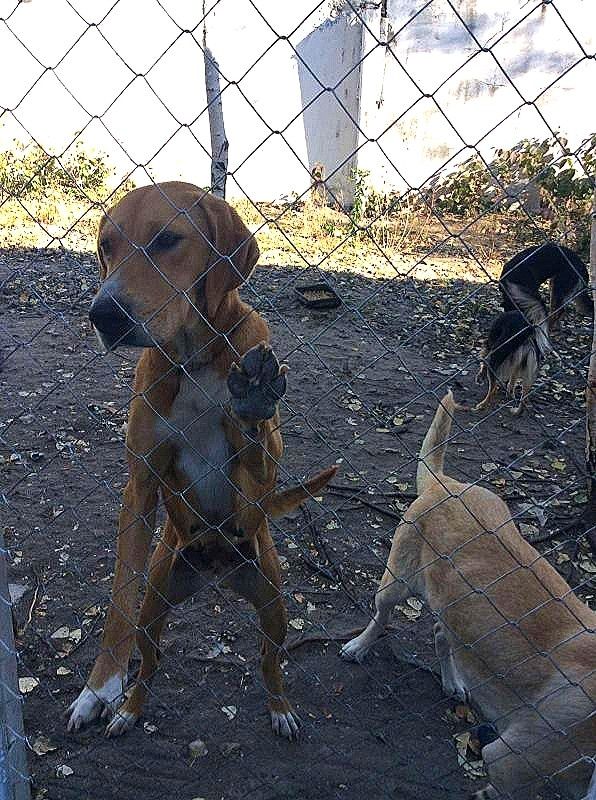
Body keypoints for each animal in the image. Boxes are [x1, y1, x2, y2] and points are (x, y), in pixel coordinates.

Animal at [66, 181, 338, 736]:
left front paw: (250, 404)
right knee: (150, 663)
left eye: (167, 240)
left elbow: (256, 449)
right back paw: (128, 709)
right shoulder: (141, 485)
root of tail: (216, 570)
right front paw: (99, 686)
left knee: (269, 661)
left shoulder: (260, 477)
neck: (192, 361)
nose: (104, 315)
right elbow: (119, 595)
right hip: (157, 600)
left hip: (274, 607)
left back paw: (280, 709)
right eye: (106, 246)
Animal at [340, 394, 596, 800]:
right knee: (380, 617)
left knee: (441, 635)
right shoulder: (510, 760)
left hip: (455, 614)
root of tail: (445, 484)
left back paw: (452, 682)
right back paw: (359, 647)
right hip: (395, 582)